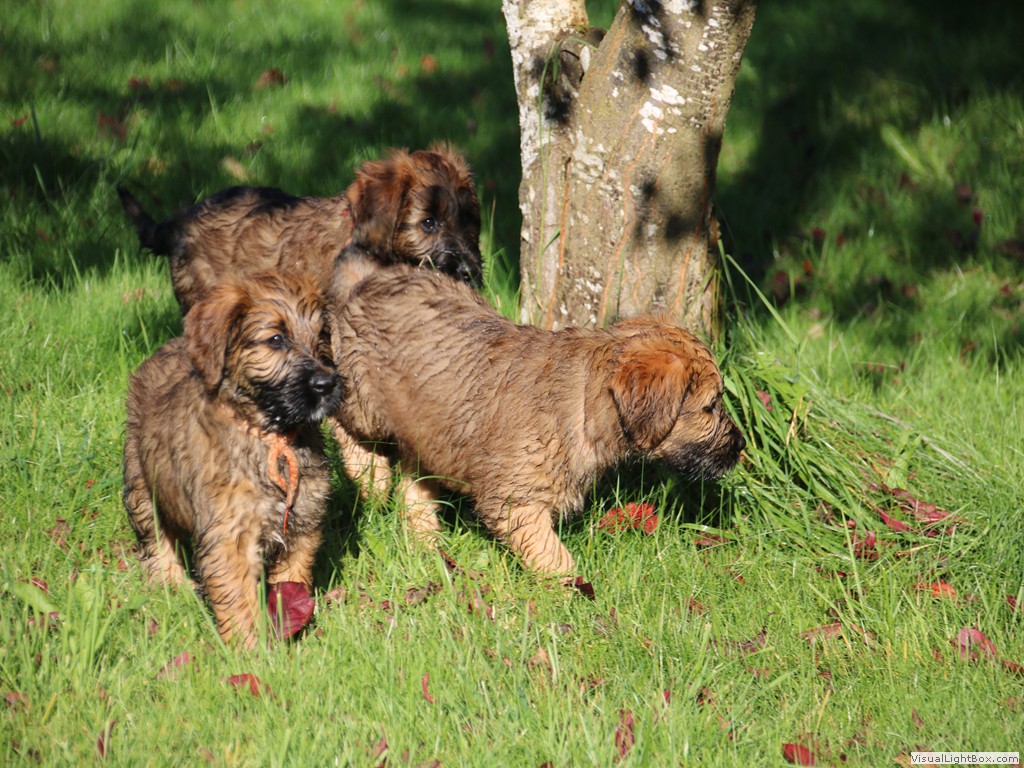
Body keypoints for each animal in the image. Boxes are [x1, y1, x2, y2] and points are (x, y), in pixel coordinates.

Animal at [122, 271, 341, 648]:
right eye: (276, 339)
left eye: (322, 336)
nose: (326, 384)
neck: (271, 436)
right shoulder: (230, 536)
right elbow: (238, 598)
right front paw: (249, 648)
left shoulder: (302, 524)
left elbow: (291, 579)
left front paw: (291, 626)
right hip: (141, 483)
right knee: (155, 540)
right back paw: (171, 586)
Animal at [327, 255, 746, 579]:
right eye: (710, 406)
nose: (741, 446)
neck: (583, 401)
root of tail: (370, 278)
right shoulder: (517, 502)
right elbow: (553, 556)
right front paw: (574, 597)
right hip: (364, 400)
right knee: (340, 417)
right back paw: (371, 476)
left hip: (427, 427)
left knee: (414, 478)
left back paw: (426, 538)